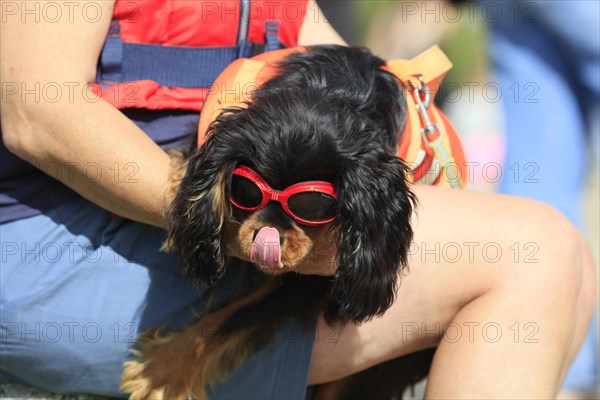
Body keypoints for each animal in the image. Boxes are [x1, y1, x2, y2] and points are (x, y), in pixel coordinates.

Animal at [120, 44, 468, 400]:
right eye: (246, 189)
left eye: (313, 205)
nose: (267, 235)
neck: (328, 89)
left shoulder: (320, 276)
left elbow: (235, 317)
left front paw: (159, 371)